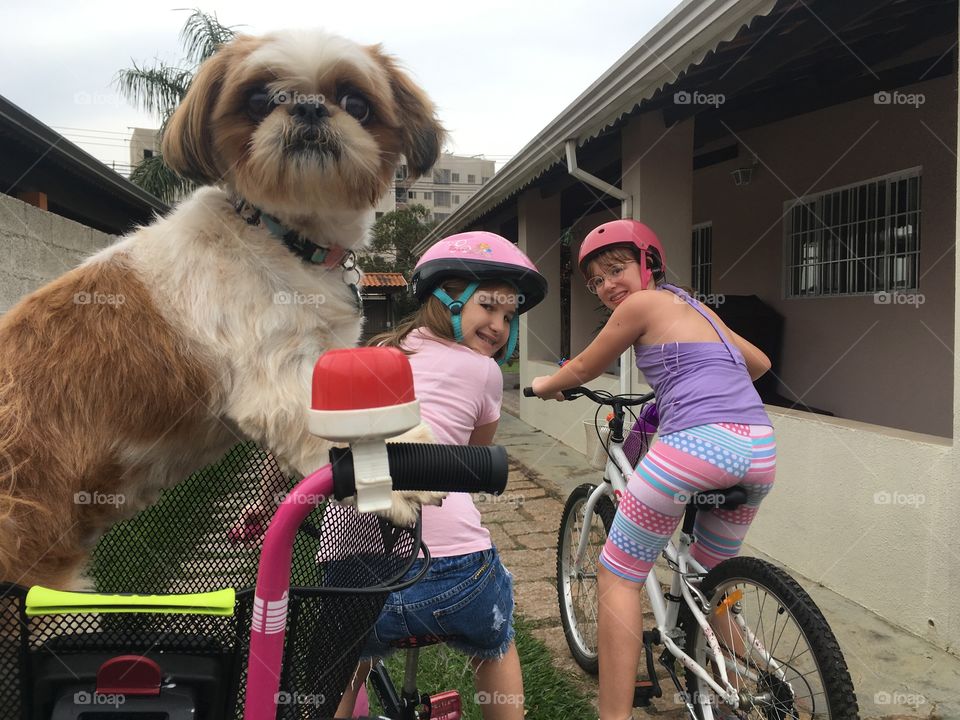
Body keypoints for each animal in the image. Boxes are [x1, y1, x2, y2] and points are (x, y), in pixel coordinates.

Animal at [0, 29, 446, 592]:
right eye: (257, 101)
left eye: (356, 104)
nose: (308, 107)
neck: (283, 237)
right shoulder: (279, 371)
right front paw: (395, 481)